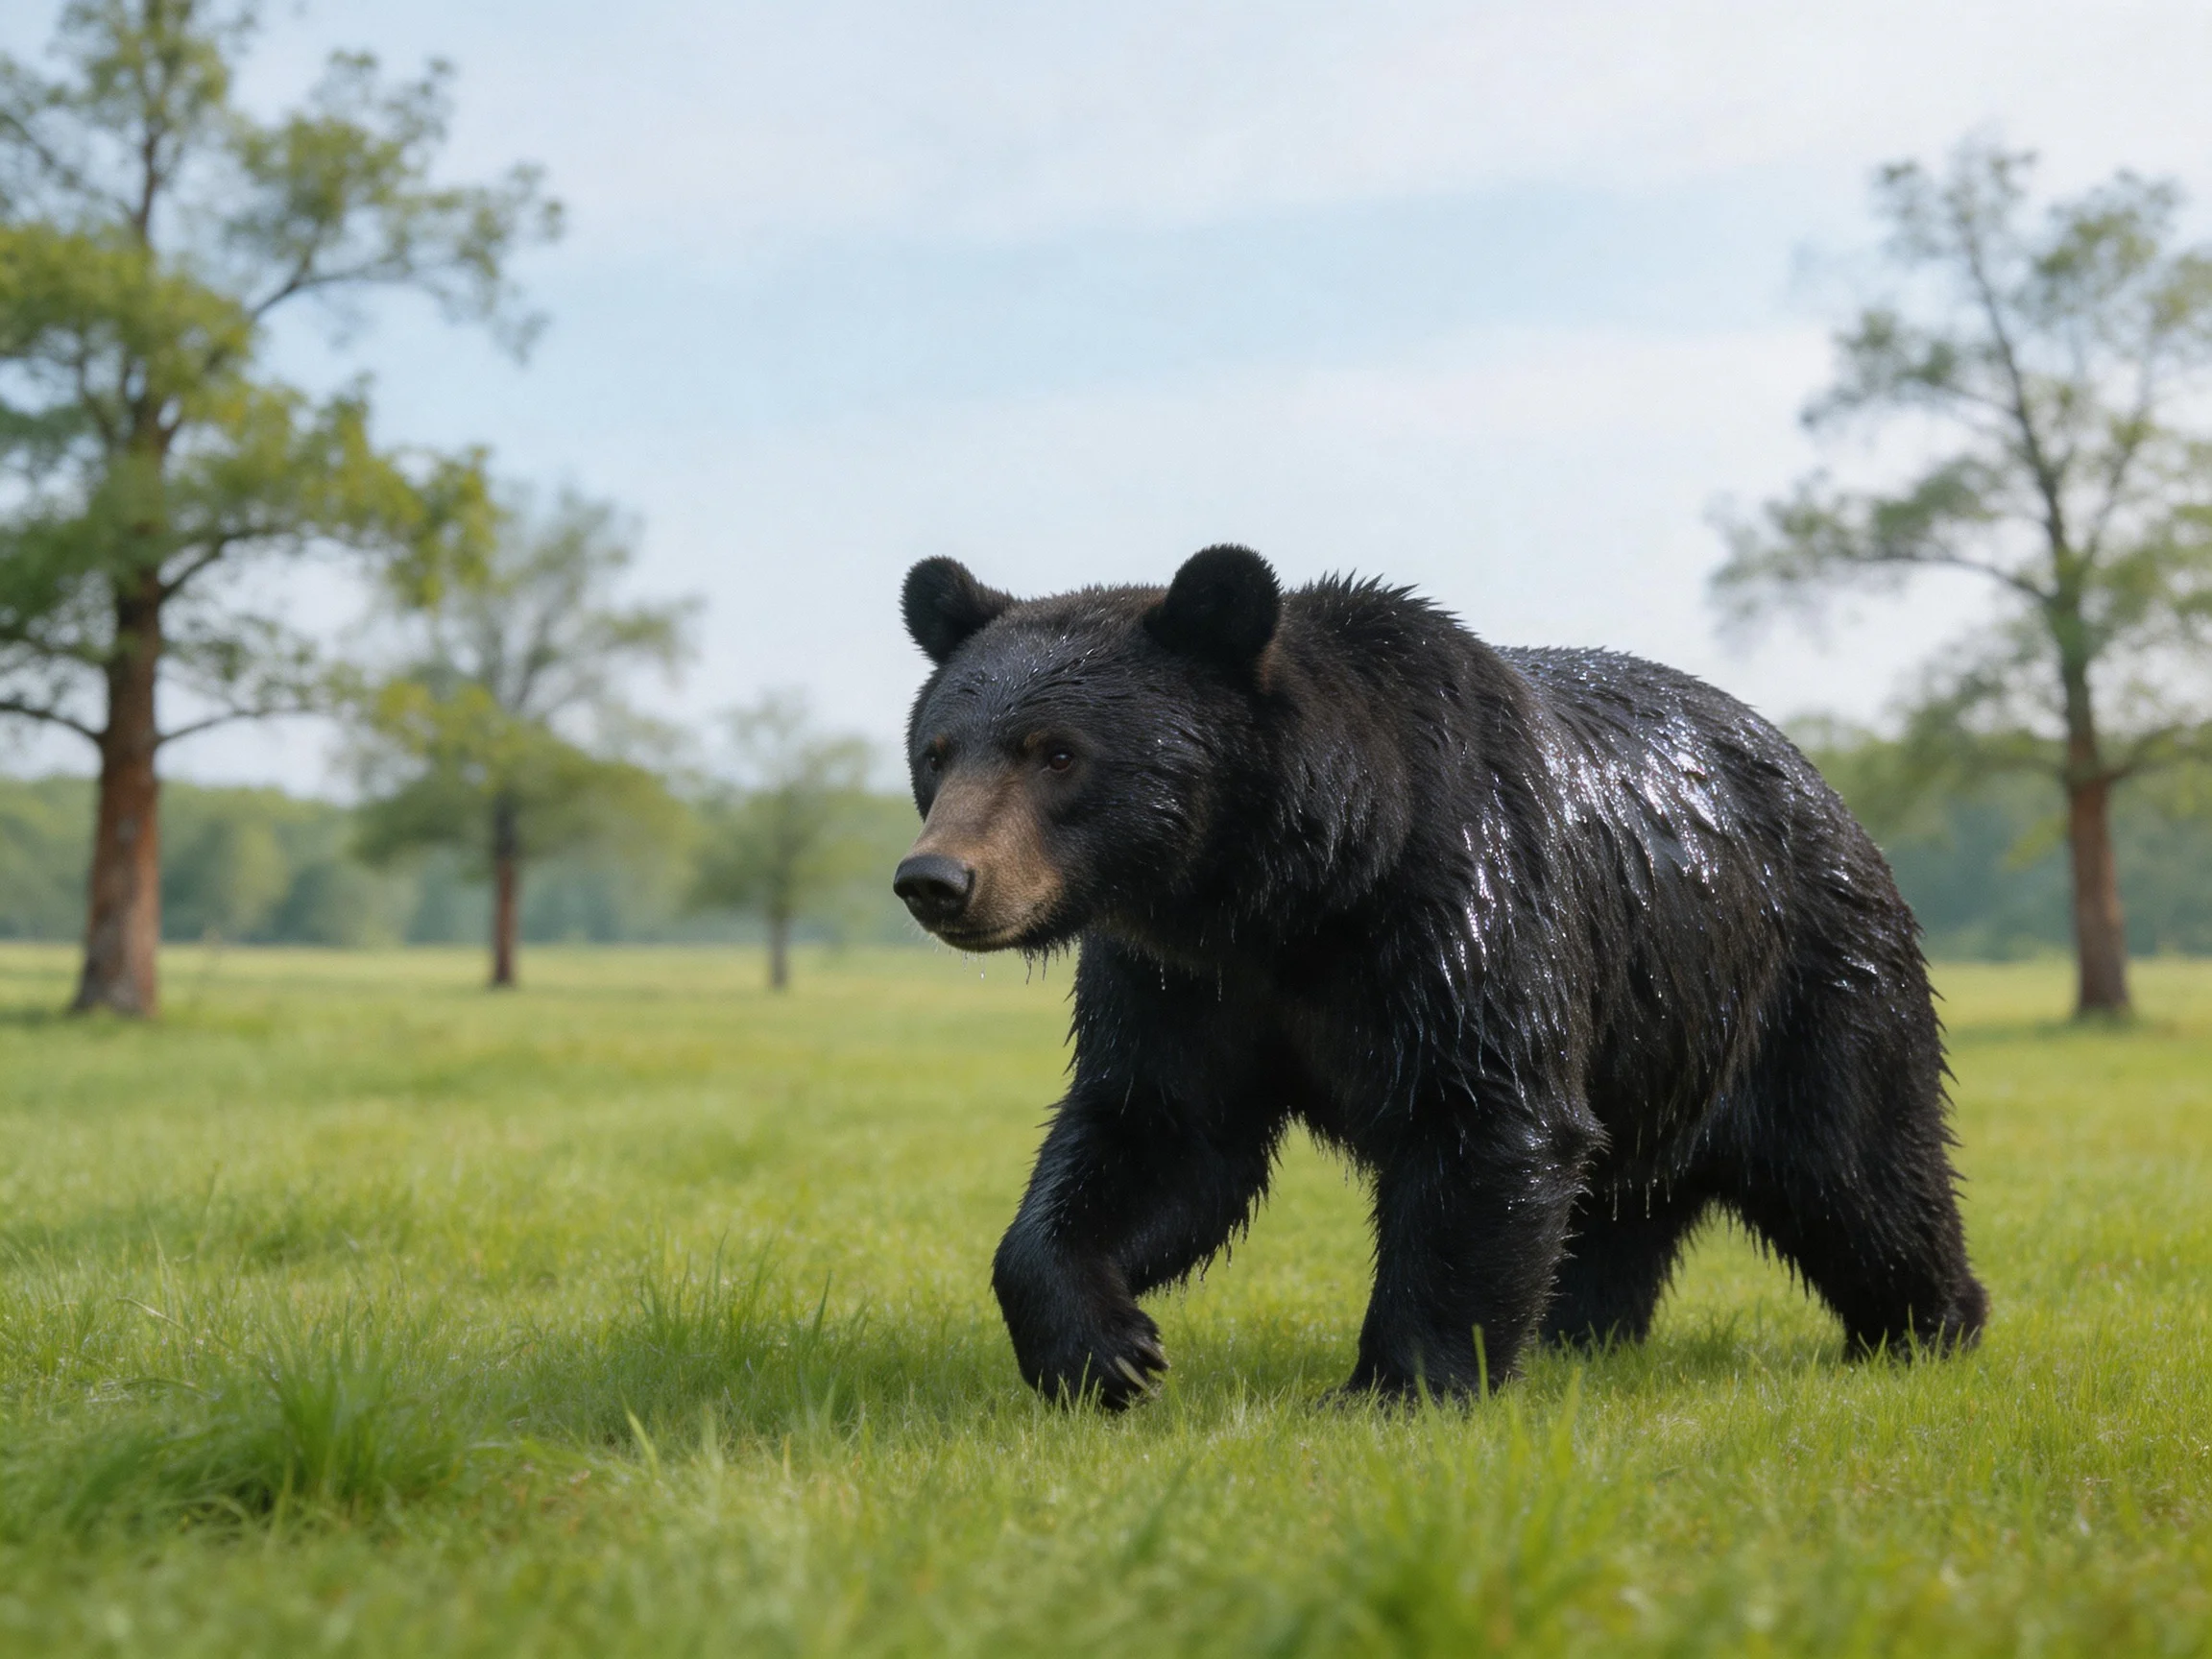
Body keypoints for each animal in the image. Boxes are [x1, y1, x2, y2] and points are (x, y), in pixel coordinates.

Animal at [893, 544, 1986, 1407]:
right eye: (937, 751)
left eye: (1057, 752)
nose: (936, 879)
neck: (1287, 891)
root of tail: (1828, 791)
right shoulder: (1185, 984)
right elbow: (1159, 1137)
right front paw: (1103, 1350)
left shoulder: (1459, 913)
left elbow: (1485, 1120)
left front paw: (1397, 1387)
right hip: (1658, 1038)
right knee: (1618, 1213)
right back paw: (1578, 1338)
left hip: (1803, 983)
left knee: (1862, 1173)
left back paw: (1930, 1328)